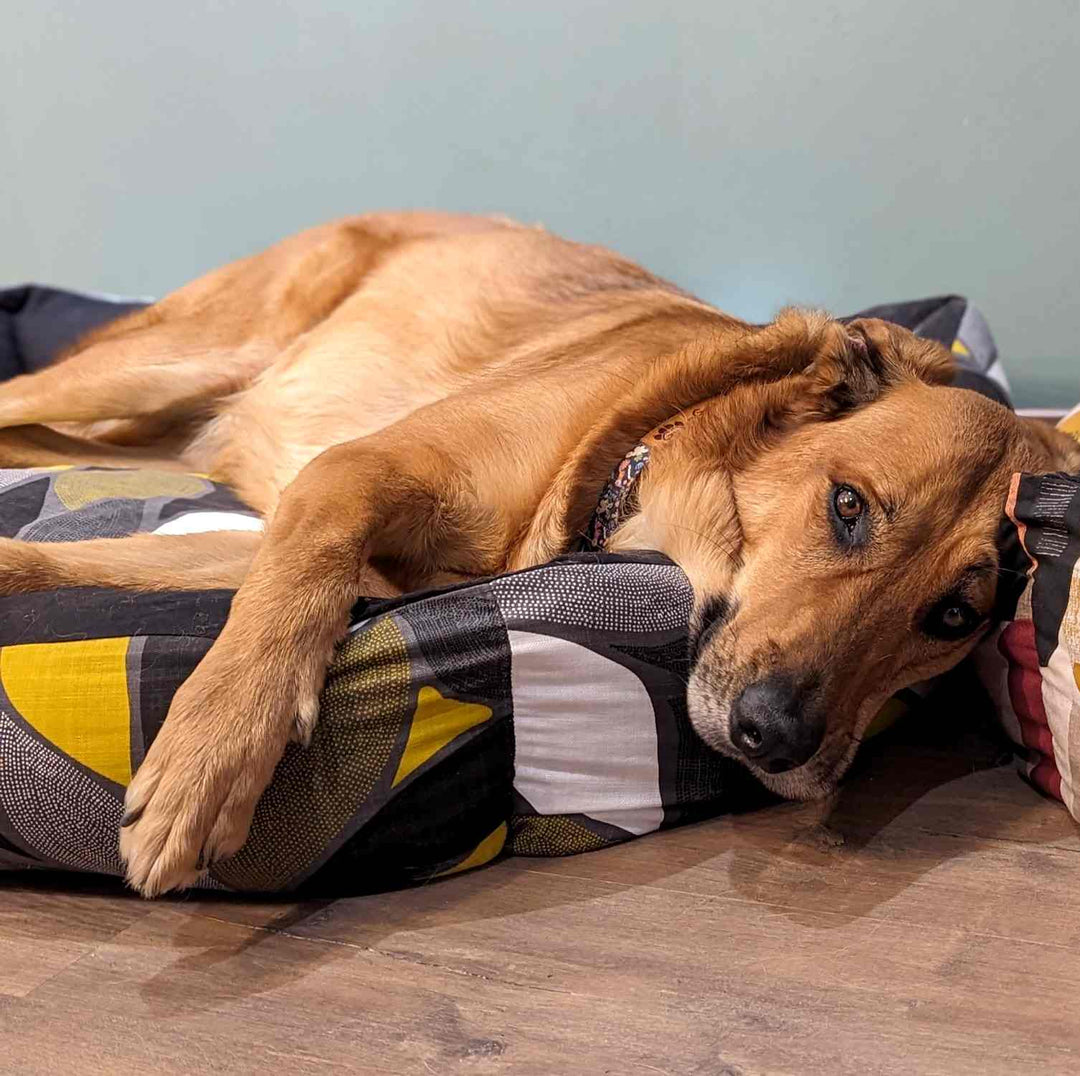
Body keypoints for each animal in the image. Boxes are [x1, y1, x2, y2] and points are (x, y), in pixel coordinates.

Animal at [0, 206, 1071, 894]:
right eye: (848, 507)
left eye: (954, 617)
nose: (780, 740)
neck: (639, 452)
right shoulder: (349, 476)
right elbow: (271, 618)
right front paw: (206, 767)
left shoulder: (310, 531)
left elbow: (193, 578)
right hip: (166, 364)